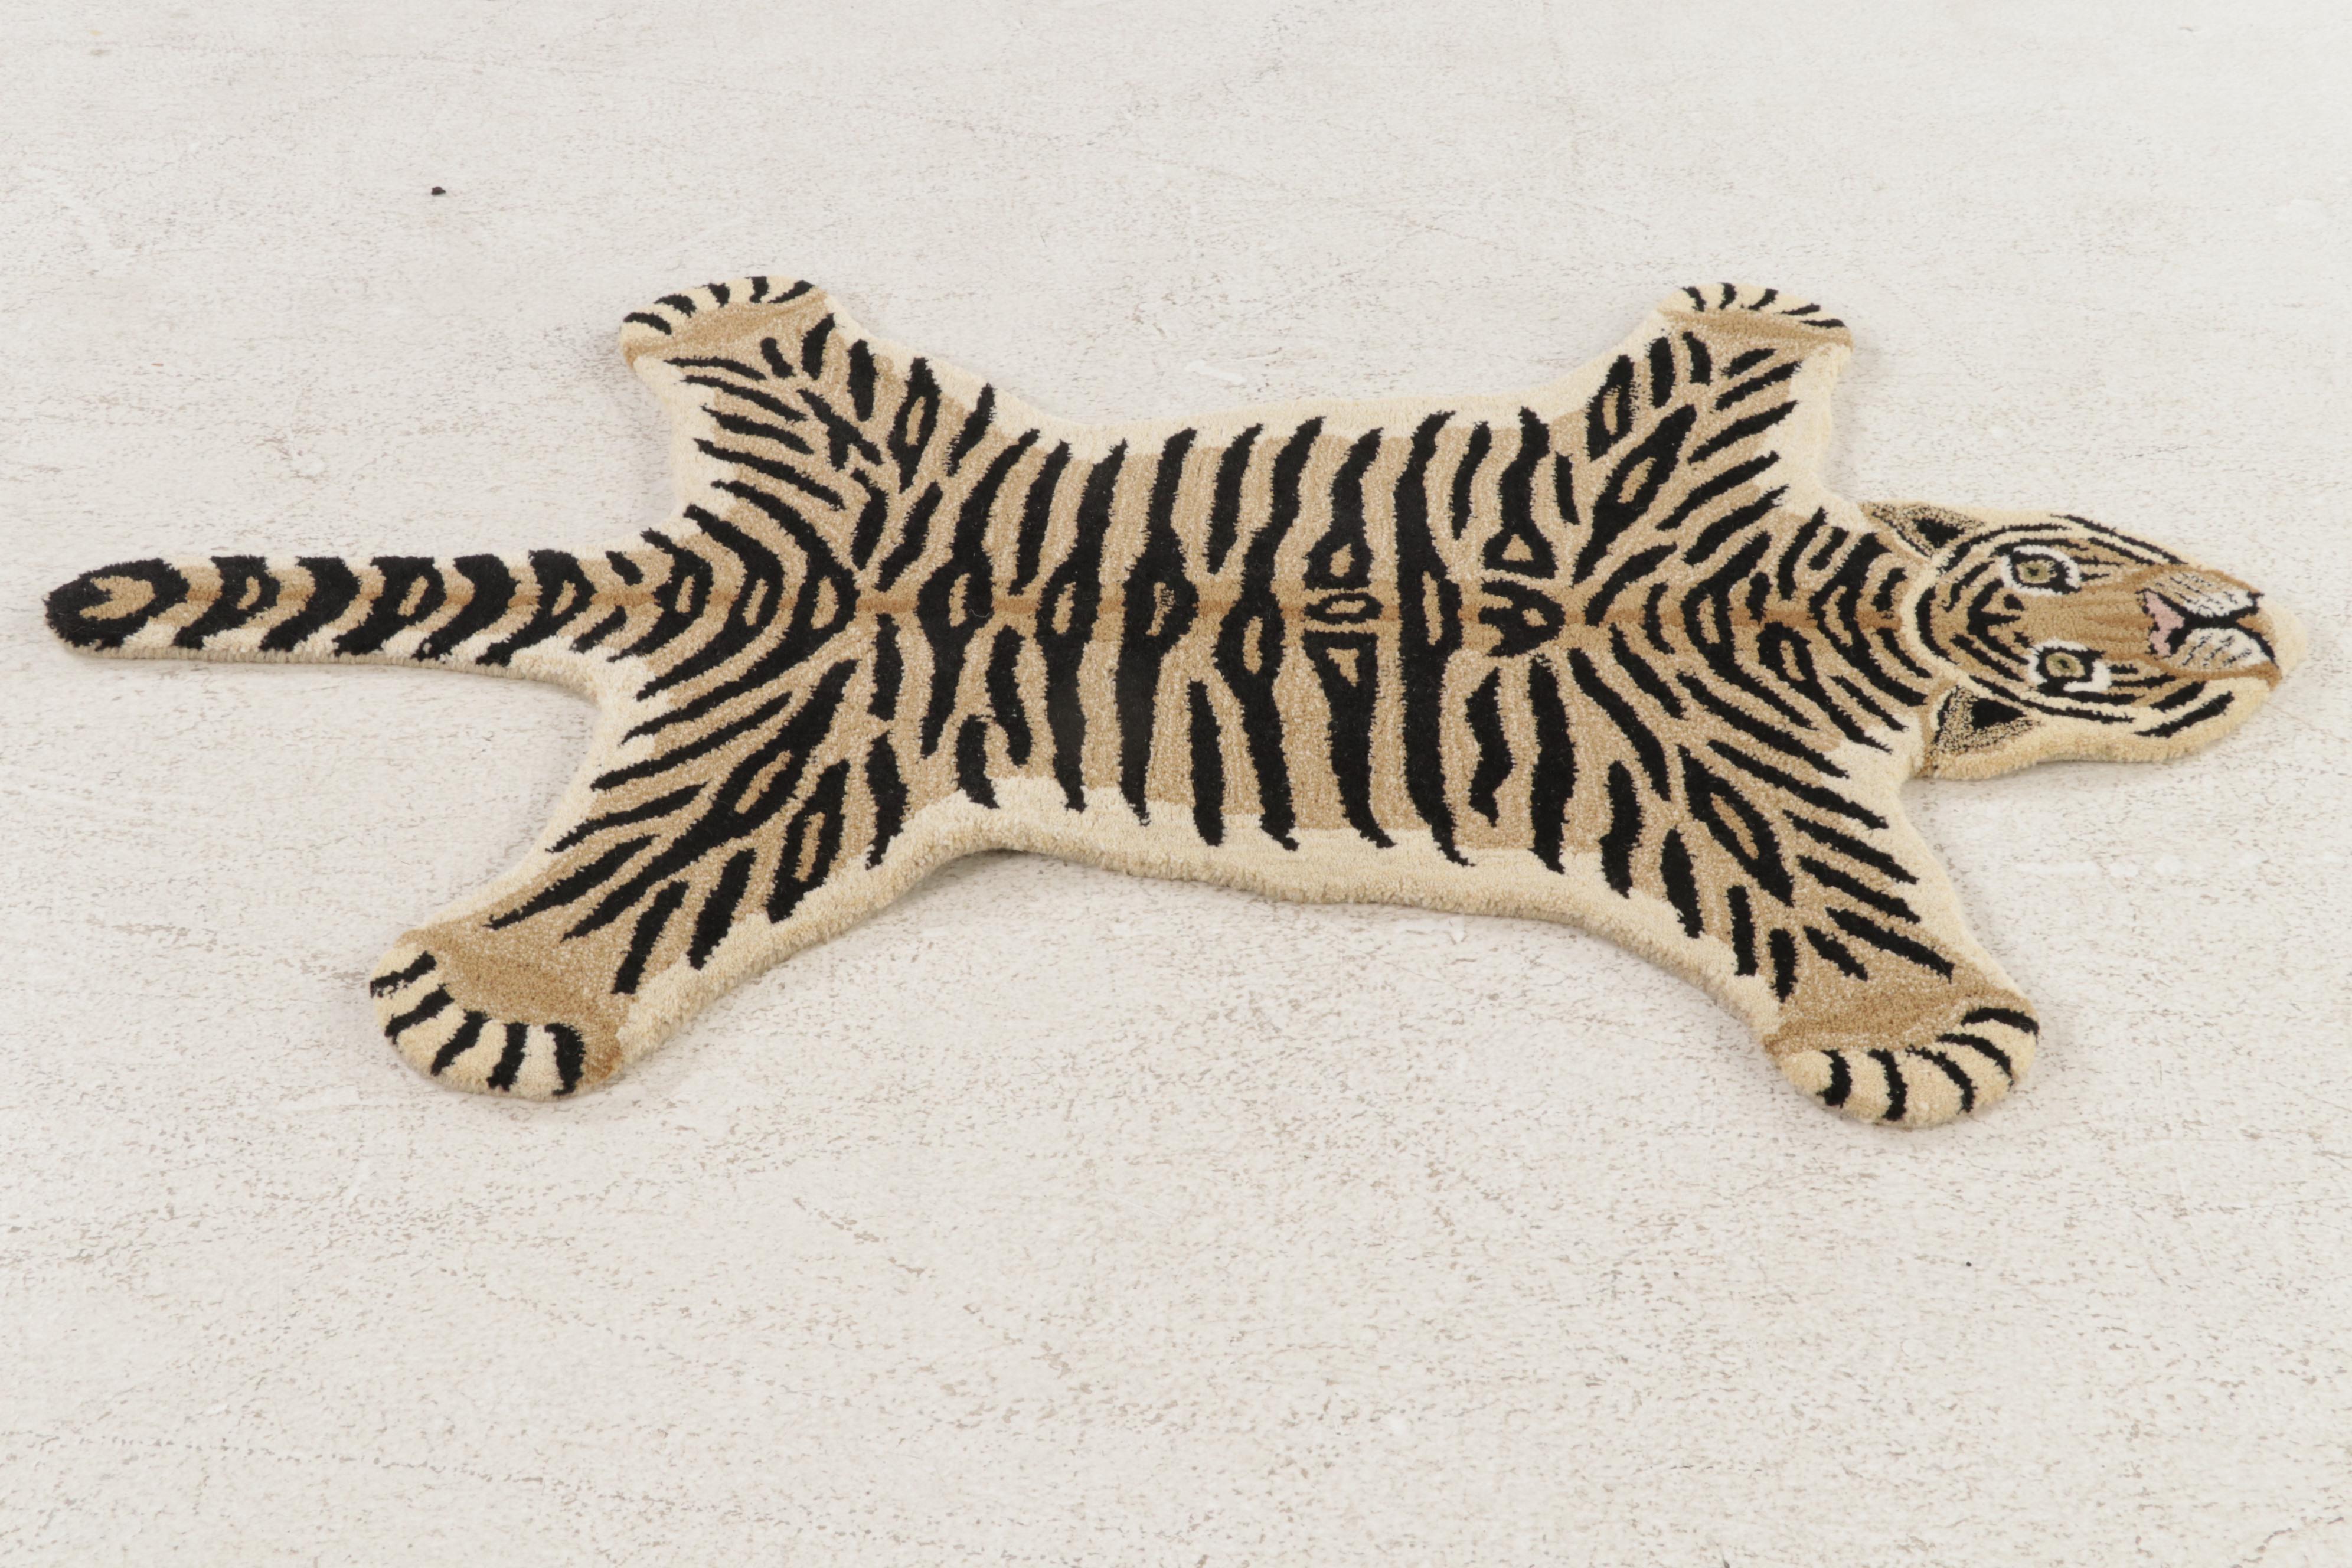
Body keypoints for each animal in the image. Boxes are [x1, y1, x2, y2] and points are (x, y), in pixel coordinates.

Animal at [44, 279, 2300, 1127]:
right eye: (2087, 634)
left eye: (2129, 559)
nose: (2255, 620)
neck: (1818, 595)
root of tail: (743, 562)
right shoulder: (1737, 735)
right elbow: (1860, 903)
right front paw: (1919, 1026)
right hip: (790, 756)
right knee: (618, 890)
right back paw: (506, 982)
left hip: (865, 511)